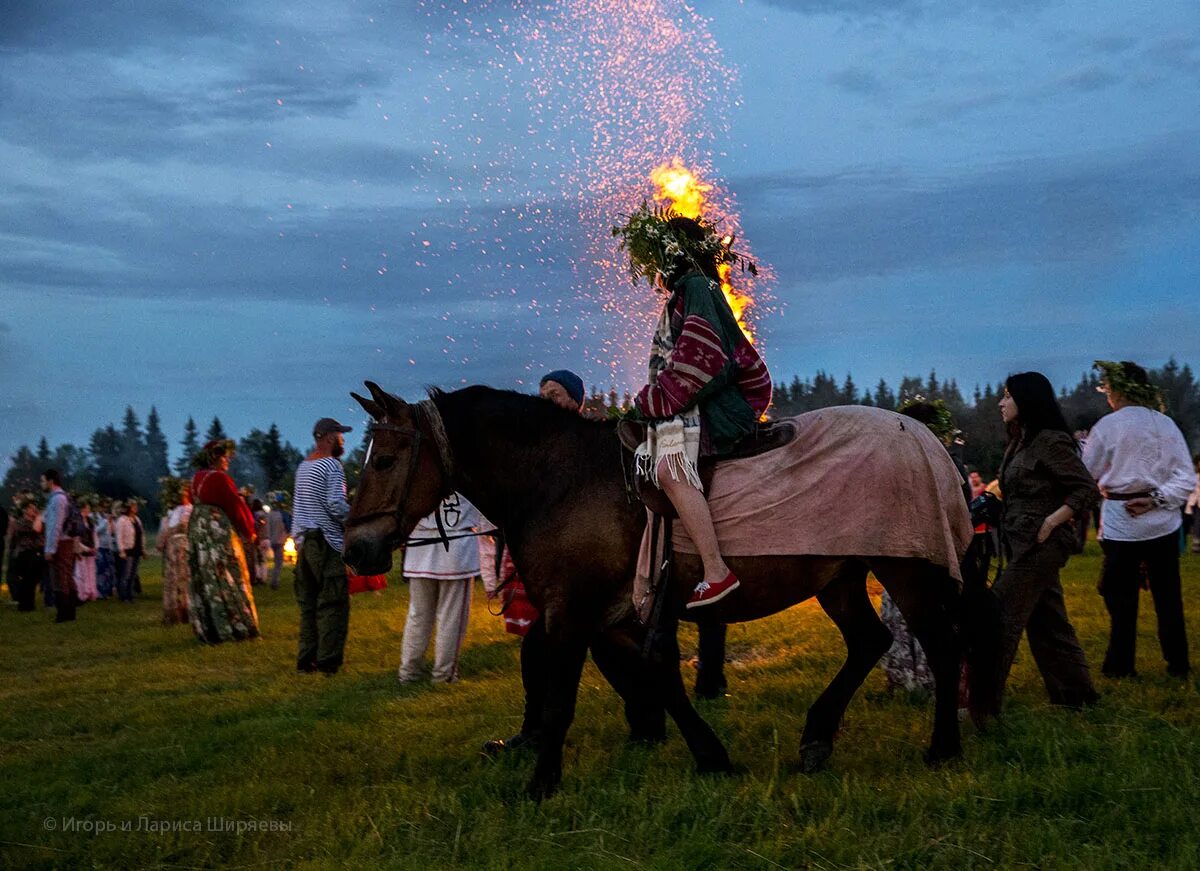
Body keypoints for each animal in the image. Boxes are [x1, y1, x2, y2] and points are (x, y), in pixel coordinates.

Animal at [343, 386, 998, 801]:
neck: (563, 480)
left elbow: (561, 701)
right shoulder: (618, 617)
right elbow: (662, 679)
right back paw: (816, 739)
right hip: (837, 576)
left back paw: (942, 747)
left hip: (905, 570)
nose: (355, 549)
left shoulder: (572, 613)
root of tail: (926, 435)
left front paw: (541, 782)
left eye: (388, 458)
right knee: (870, 641)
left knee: (942, 646)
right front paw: (710, 756)